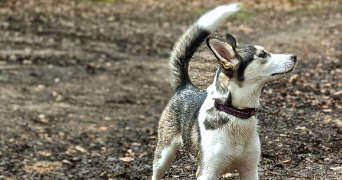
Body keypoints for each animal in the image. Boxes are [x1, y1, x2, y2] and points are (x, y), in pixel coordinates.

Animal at [152, 3, 296, 180]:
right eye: (262, 54)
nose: (294, 57)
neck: (235, 113)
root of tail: (185, 86)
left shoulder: (250, 170)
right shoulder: (209, 172)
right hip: (163, 156)